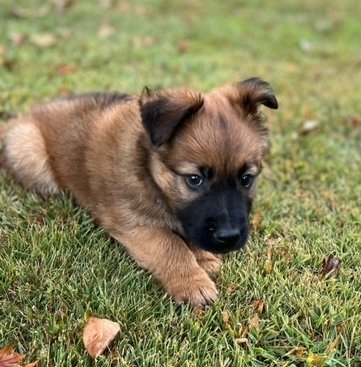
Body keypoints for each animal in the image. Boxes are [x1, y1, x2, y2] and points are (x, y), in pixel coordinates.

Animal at [4, 78, 278, 308]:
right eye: (195, 180)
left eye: (246, 179)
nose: (229, 237)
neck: (148, 170)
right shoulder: (132, 223)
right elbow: (171, 244)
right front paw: (193, 282)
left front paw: (203, 258)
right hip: (32, 154)